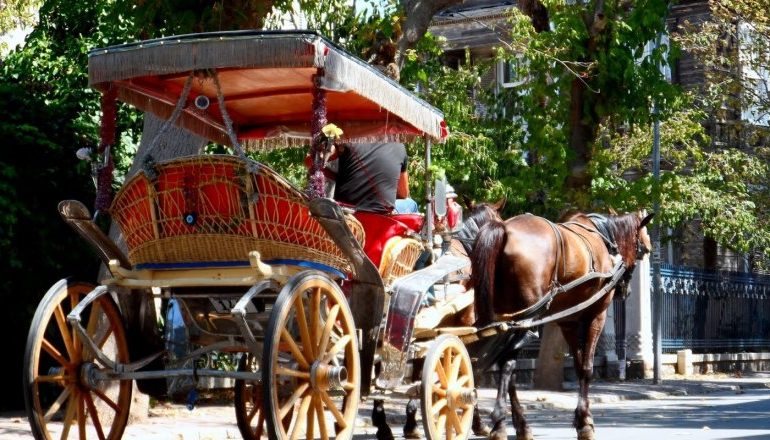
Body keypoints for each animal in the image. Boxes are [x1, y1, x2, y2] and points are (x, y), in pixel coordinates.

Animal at [464, 208, 652, 438]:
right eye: (643, 248)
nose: (626, 291)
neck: (603, 237)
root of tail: (504, 229)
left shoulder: (569, 322)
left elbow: (578, 364)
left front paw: (581, 418)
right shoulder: (596, 315)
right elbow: (587, 367)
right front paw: (585, 421)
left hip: (505, 317)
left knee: (506, 368)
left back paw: (519, 425)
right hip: (525, 318)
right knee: (507, 365)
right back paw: (499, 422)